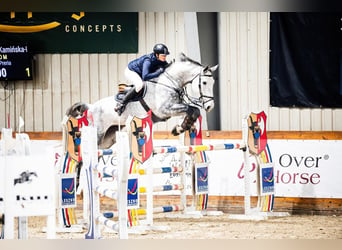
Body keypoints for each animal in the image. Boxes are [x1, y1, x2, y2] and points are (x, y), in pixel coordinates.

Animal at [65, 53, 218, 148]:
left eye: (213, 83)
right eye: (204, 82)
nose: (210, 106)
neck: (170, 82)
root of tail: (91, 107)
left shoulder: (172, 109)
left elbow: (193, 111)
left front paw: (180, 128)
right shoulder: (165, 110)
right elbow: (192, 109)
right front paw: (180, 128)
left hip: (108, 138)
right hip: (97, 132)